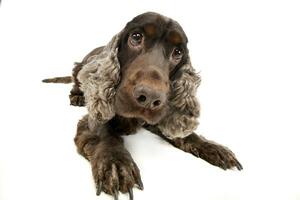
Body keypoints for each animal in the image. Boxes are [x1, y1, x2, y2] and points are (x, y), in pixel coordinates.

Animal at [43, 12, 243, 200]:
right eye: (136, 37)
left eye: (178, 52)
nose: (149, 98)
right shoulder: (94, 116)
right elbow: (104, 132)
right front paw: (116, 164)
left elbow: (187, 135)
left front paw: (213, 147)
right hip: (79, 69)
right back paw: (77, 97)